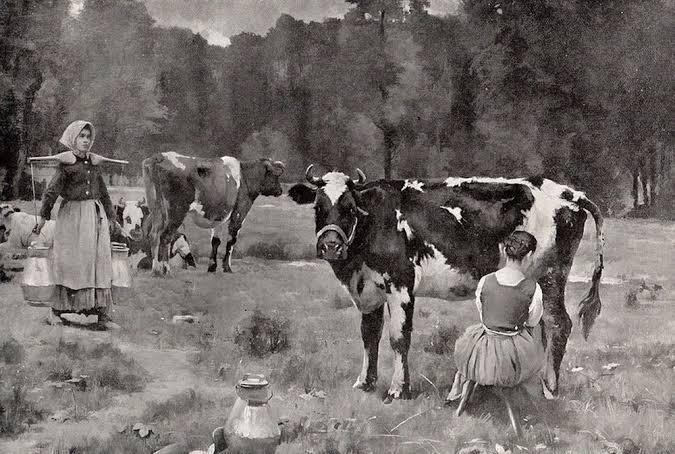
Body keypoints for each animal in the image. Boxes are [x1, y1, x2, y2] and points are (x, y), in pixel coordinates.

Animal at [143, 151, 286, 274]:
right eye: (275, 175)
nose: (280, 190)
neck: (245, 177)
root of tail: (160, 156)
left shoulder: (218, 216)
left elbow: (215, 241)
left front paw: (212, 267)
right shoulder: (239, 213)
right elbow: (231, 240)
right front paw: (227, 267)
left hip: (156, 208)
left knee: (154, 234)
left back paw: (156, 270)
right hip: (177, 211)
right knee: (165, 236)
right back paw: (166, 270)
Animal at [288, 167, 604, 404]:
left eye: (350, 208)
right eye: (318, 207)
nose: (331, 246)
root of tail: (570, 192)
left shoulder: (401, 283)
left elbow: (398, 338)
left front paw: (398, 390)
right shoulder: (370, 289)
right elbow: (369, 335)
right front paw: (365, 383)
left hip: (551, 274)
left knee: (558, 324)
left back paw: (551, 389)